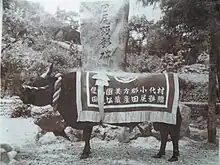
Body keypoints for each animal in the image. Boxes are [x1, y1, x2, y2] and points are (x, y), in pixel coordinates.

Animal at [19, 66, 182, 161]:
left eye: (35, 84)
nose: (21, 93)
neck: (65, 89)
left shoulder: (86, 120)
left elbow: (86, 136)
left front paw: (84, 153)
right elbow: (87, 137)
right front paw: (88, 151)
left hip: (166, 118)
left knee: (172, 135)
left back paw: (173, 156)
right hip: (161, 118)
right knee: (165, 135)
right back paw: (160, 154)